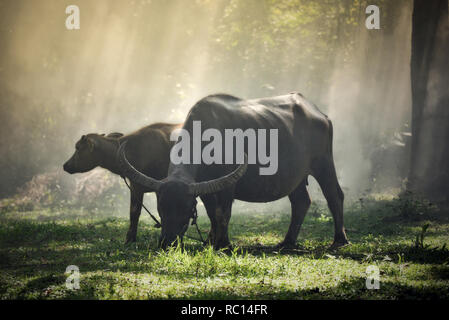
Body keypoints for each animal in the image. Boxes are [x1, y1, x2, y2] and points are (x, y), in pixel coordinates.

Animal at [117, 93, 348, 250]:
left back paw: (339, 240)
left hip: (324, 164)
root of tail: (320, 114)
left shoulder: (228, 185)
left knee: (334, 196)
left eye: (186, 208)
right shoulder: (204, 187)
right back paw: (287, 242)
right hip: (295, 177)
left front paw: (223, 243)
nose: (167, 242)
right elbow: (212, 213)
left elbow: (223, 212)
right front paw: (210, 242)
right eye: (161, 207)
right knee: (301, 202)